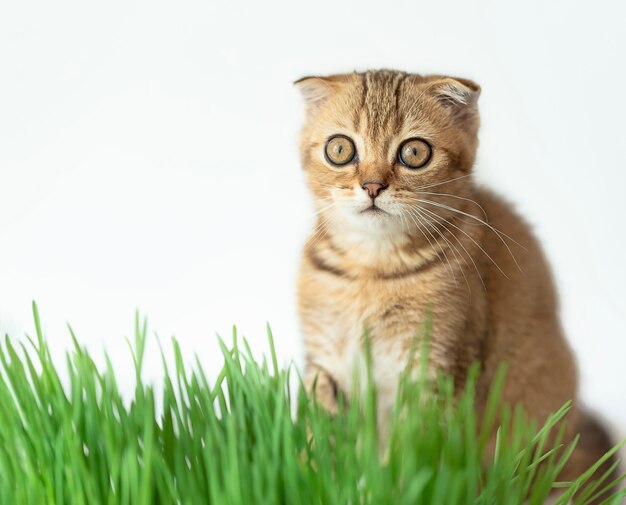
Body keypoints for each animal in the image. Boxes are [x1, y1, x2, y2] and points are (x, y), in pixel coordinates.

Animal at [294, 71, 616, 492]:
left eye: (414, 152)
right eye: (340, 149)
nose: (372, 186)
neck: (372, 271)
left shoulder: (435, 368)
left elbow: (413, 454)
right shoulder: (324, 364)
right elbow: (319, 438)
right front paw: (315, 478)